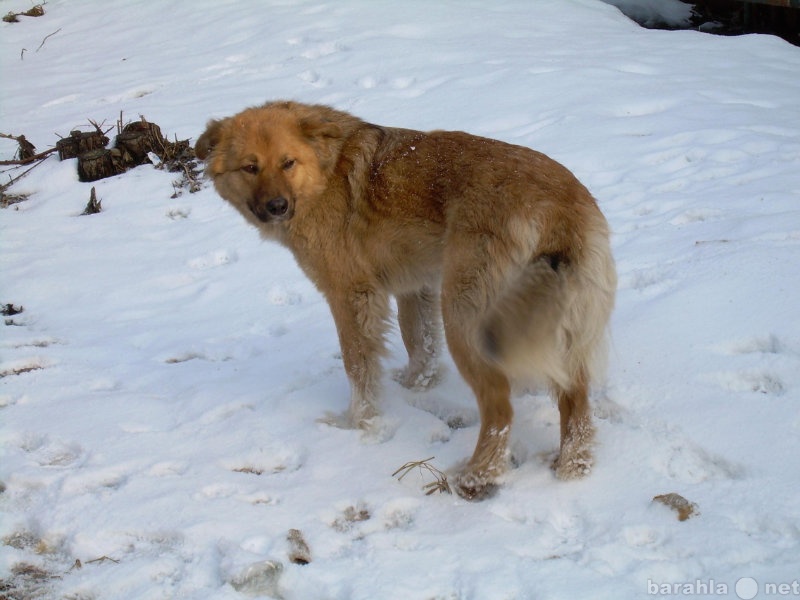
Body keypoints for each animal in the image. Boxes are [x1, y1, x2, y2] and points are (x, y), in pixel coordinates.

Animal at [195, 101, 620, 500]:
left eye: (288, 163)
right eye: (250, 167)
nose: (276, 207)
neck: (324, 172)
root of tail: (559, 204)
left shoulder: (351, 296)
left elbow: (358, 367)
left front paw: (357, 424)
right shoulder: (415, 287)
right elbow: (418, 341)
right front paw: (418, 384)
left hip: (465, 318)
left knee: (500, 408)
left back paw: (477, 475)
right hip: (554, 321)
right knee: (575, 397)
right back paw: (574, 463)